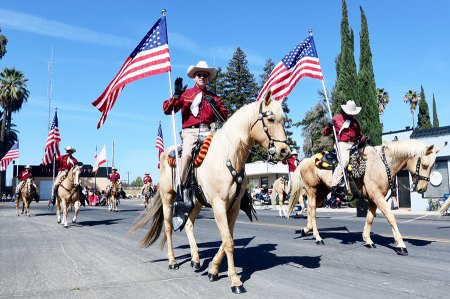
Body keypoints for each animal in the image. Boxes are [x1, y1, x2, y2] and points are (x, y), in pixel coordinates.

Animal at [128, 92, 290, 294]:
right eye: (270, 119)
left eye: (284, 120)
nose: (284, 151)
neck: (228, 156)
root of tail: (165, 153)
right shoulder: (219, 205)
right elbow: (228, 241)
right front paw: (235, 281)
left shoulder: (233, 207)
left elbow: (227, 238)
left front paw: (213, 269)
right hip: (168, 197)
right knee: (168, 227)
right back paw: (172, 261)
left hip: (196, 202)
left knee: (189, 224)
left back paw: (196, 260)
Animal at [288, 140, 440, 255]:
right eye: (425, 165)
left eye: (433, 166)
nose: (422, 189)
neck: (382, 164)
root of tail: (305, 161)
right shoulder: (377, 196)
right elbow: (390, 217)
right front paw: (401, 245)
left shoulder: (374, 198)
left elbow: (369, 218)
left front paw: (368, 240)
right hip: (311, 191)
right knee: (312, 211)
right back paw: (318, 237)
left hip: (322, 192)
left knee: (310, 210)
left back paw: (305, 230)